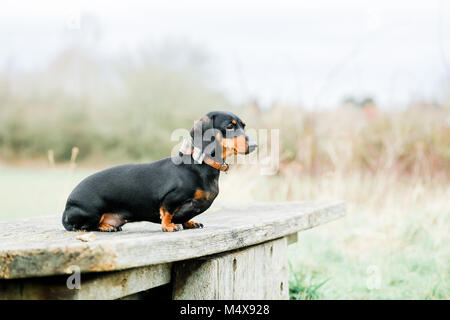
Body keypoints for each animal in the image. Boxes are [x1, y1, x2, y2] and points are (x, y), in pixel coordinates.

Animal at [61, 112, 256, 232]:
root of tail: (66, 208)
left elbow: (185, 216)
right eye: (229, 126)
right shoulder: (170, 198)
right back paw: (105, 227)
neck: (200, 163)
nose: (254, 145)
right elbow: (167, 212)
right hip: (91, 213)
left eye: (243, 126)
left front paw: (189, 222)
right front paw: (169, 226)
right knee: (84, 227)